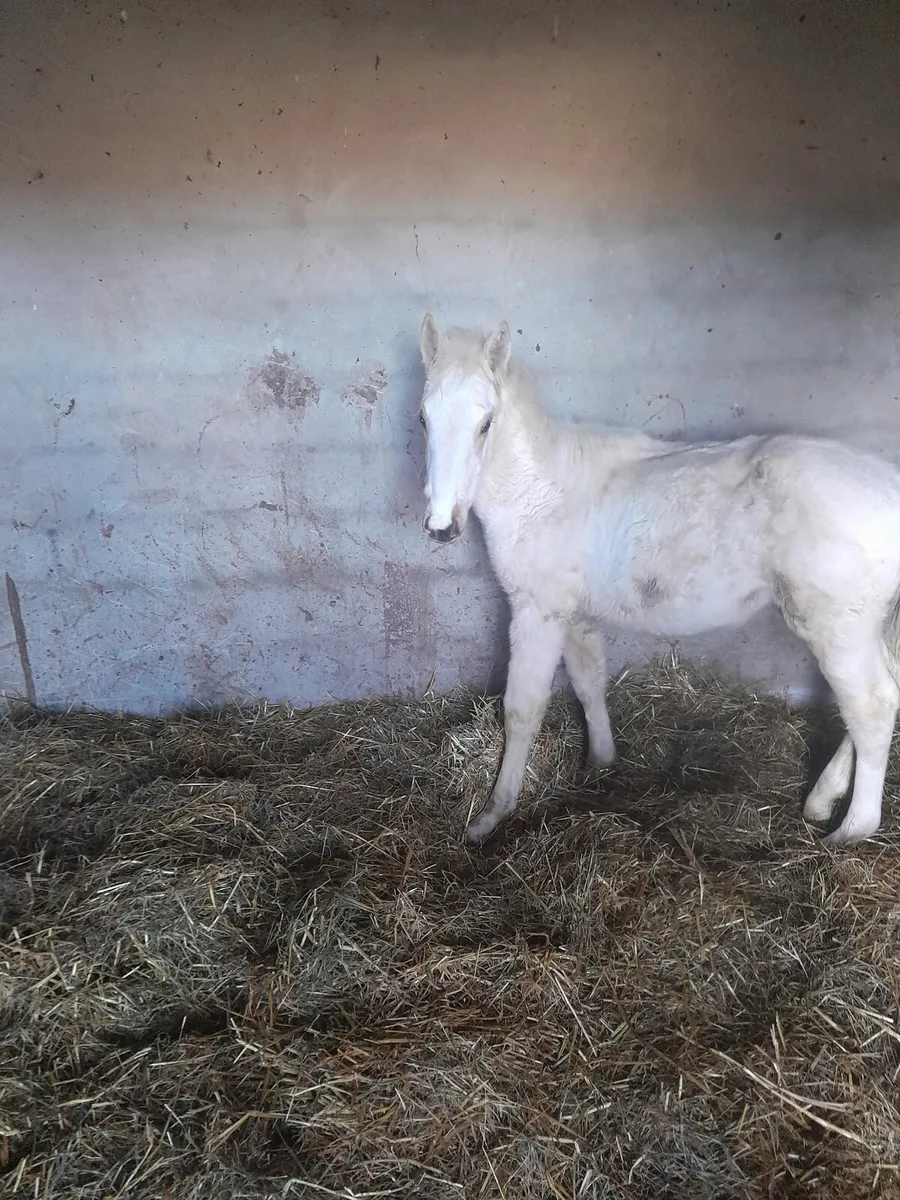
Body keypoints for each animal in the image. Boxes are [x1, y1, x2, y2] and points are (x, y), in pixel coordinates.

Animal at [417, 312, 900, 848]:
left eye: (486, 423)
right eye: (423, 418)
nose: (441, 526)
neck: (542, 494)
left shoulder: (536, 611)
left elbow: (521, 710)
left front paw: (492, 815)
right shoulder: (576, 615)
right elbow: (589, 683)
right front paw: (601, 762)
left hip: (838, 629)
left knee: (873, 709)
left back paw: (850, 831)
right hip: (869, 627)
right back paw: (821, 799)